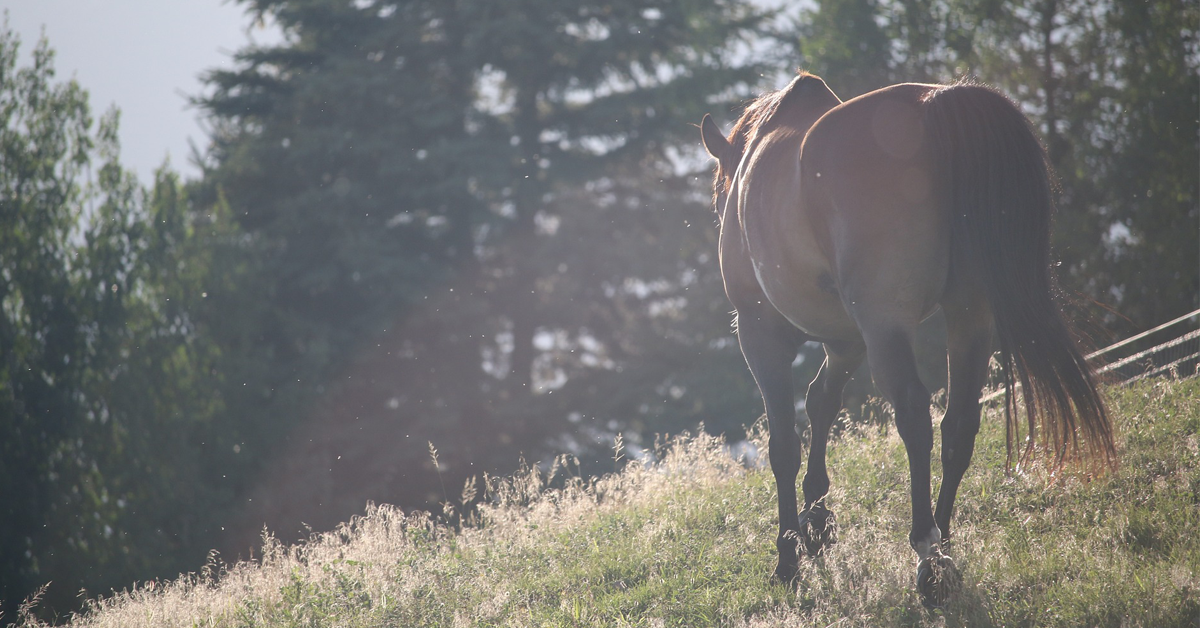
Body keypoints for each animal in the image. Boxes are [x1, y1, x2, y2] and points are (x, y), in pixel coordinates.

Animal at [698, 72, 1116, 607]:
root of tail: (939, 105)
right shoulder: (847, 340)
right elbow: (821, 403)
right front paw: (818, 523)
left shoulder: (762, 333)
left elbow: (784, 444)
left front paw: (789, 555)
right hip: (969, 314)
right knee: (959, 421)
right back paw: (944, 543)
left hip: (885, 322)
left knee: (916, 415)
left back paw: (927, 557)